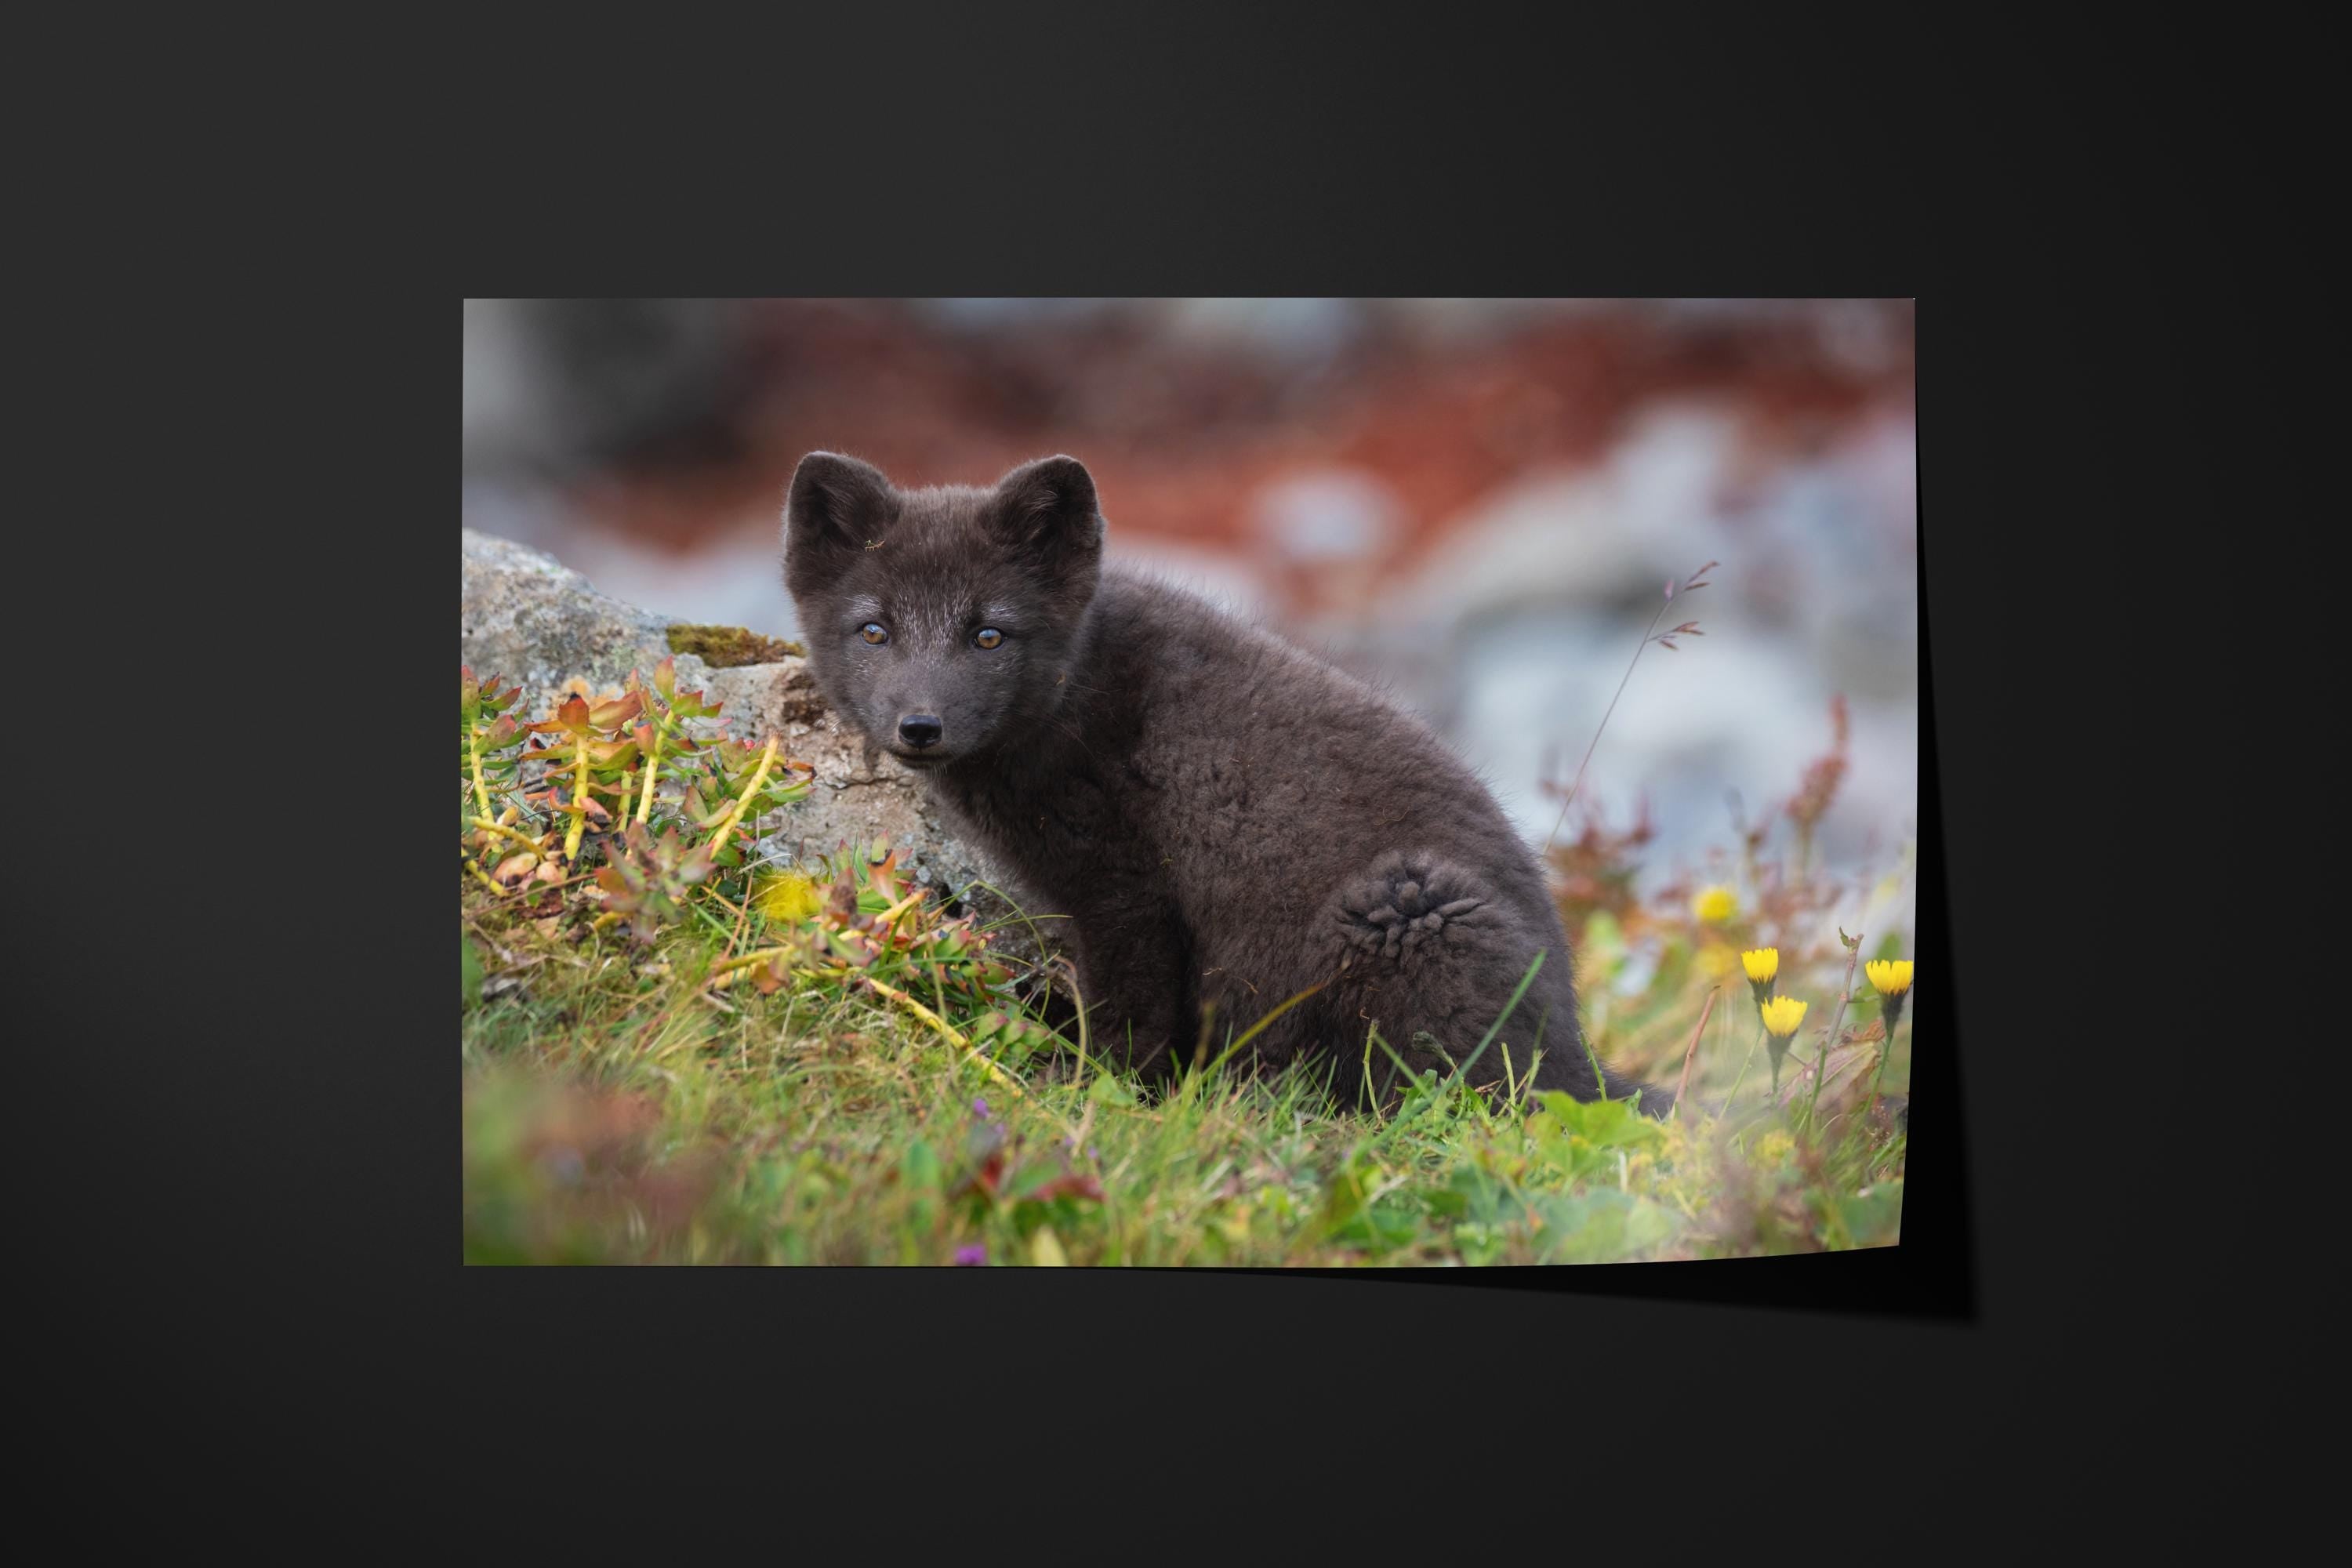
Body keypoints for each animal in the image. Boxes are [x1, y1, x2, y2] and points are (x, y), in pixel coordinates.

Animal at [781, 450, 1677, 1116]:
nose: (920, 726)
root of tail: (1578, 1049)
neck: (1075, 698)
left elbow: (1131, 1016)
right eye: (875, 631)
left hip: (1406, 909)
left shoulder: (1127, 893)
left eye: (990, 635)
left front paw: (1097, 1093)